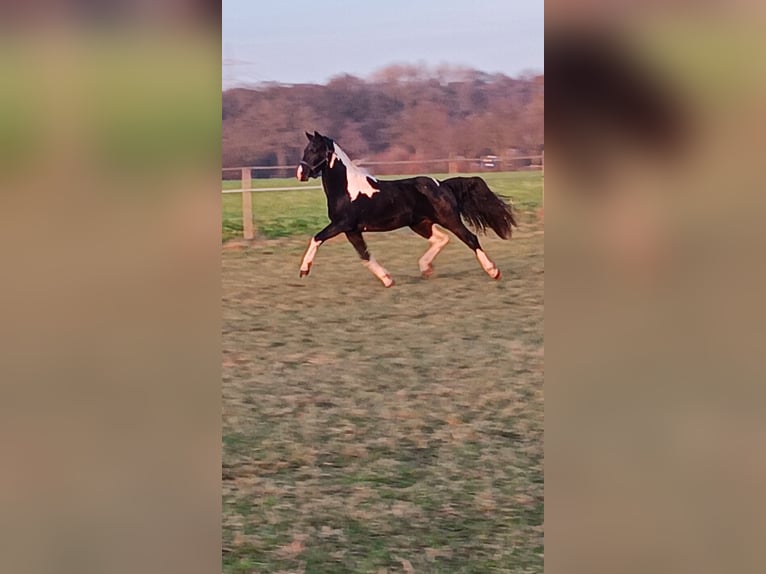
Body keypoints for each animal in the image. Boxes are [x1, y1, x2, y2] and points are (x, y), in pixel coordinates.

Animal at [296, 133, 520, 290]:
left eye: (315, 149)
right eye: (306, 149)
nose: (301, 173)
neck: (347, 189)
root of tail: (442, 184)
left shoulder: (342, 224)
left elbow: (317, 238)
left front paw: (304, 270)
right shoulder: (352, 230)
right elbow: (365, 256)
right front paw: (388, 280)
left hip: (449, 219)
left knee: (470, 238)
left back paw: (493, 271)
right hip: (420, 224)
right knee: (441, 239)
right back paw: (425, 268)